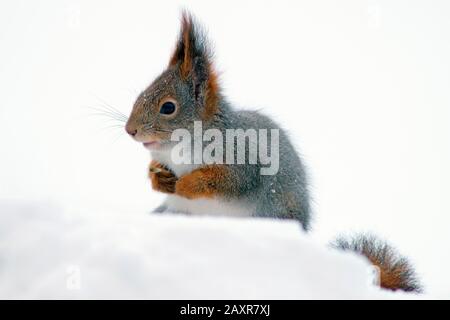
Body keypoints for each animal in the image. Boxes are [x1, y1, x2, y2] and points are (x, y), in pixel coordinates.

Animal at [125, 11, 422, 292]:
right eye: (141, 94)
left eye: (168, 107)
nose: (130, 130)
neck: (181, 148)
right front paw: (159, 178)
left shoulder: (244, 160)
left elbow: (228, 181)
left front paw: (185, 184)